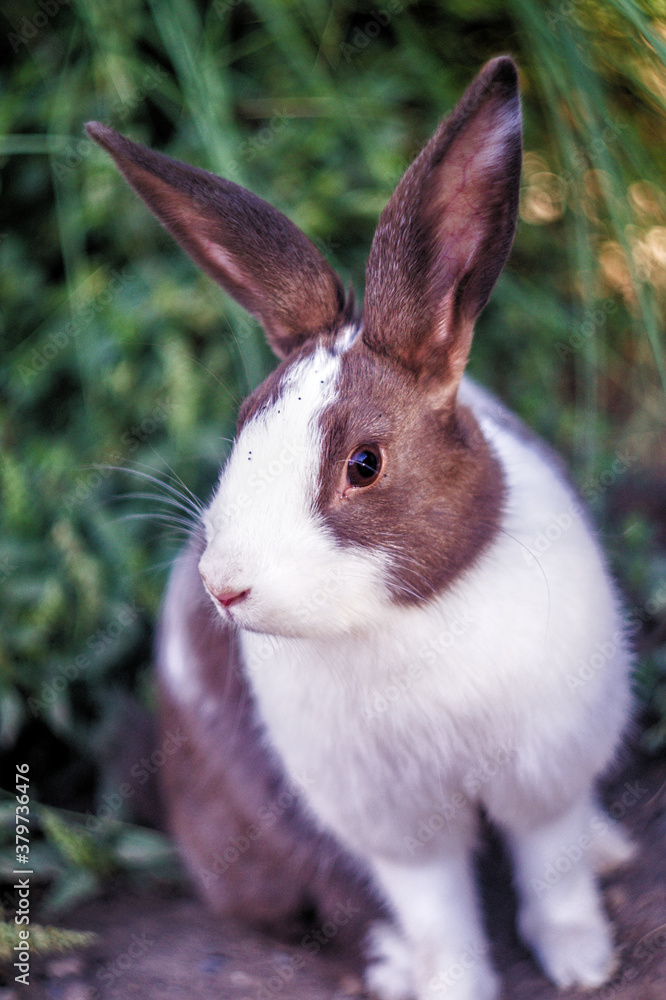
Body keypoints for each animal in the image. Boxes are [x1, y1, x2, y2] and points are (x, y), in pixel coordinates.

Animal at [86, 55, 635, 1000]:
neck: (408, 620)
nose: (224, 586)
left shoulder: (545, 774)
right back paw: (387, 964)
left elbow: (550, 871)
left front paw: (581, 965)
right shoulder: (393, 824)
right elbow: (438, 912)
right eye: (244, 421)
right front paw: (455, 987)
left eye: (365, 464)